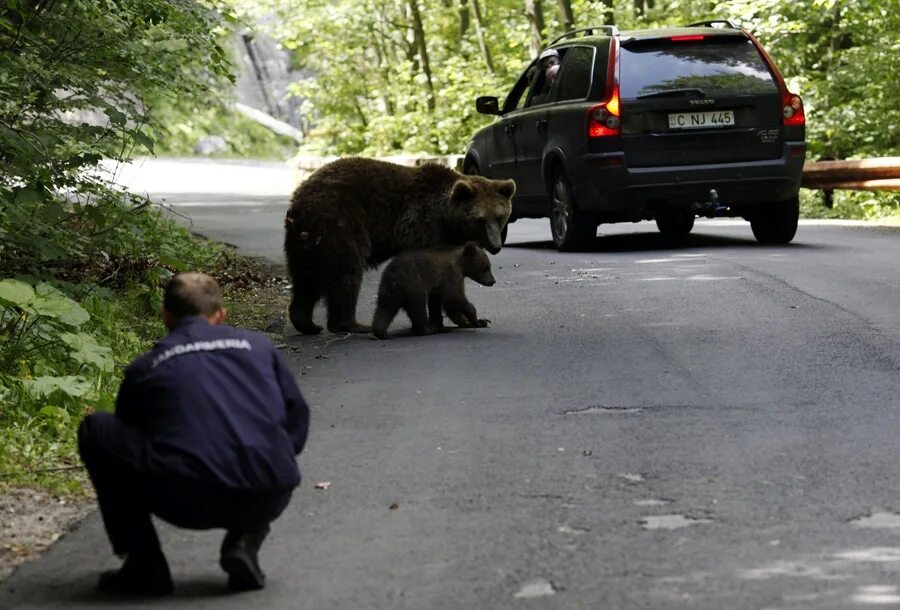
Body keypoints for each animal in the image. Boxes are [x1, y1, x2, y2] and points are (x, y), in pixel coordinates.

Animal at [372, 241, 500, 338]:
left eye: (489, 266)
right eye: (485, 267)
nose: (493, 281)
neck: (461, 266)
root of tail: (394, 276)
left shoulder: (443, 285)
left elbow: (451, 305)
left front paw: (474, 321)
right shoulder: (451, 274)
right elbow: (454, 296)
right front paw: (477, 320)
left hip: (388, 291)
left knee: (384, 310)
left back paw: (381, 332)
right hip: (414, 285)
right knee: (418, 308)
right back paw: (428, 329)